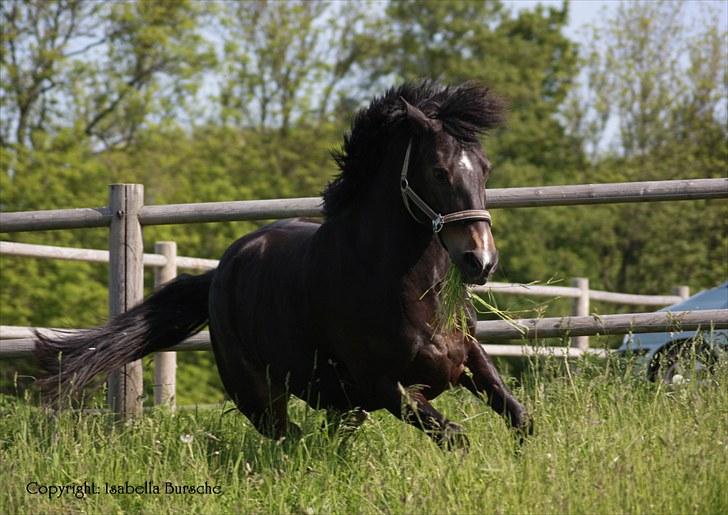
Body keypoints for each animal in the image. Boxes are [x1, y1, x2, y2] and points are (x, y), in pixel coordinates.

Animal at [34, 82, 532, 450]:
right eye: (438, 171)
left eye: (485, 169)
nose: (480, 260)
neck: (402, 284)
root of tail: (220, 273)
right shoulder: (386, 385)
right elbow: (456, 437)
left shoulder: (467, 359)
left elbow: (520, 417)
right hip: (258, 394)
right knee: (290, 439)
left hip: (339, 403)